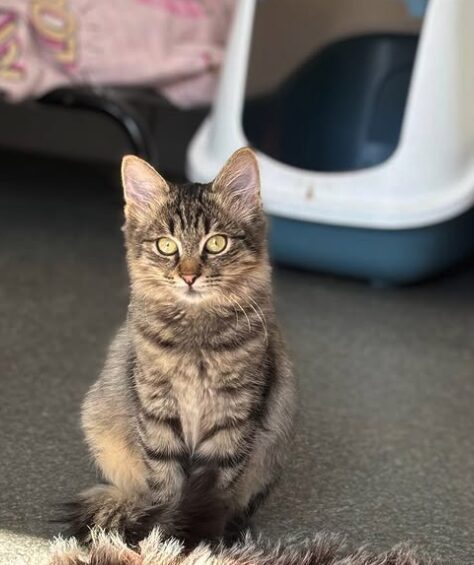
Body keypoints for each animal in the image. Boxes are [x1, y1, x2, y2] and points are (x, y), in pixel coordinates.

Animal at [65, 148, 296, 544]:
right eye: (166, 246)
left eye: (216, 243)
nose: (189, 276)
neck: (195, 337)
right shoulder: (157, 406)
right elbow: (166, 482)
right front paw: (166, 537)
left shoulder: (234, 413)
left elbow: (215, 485)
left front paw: (201, 539)